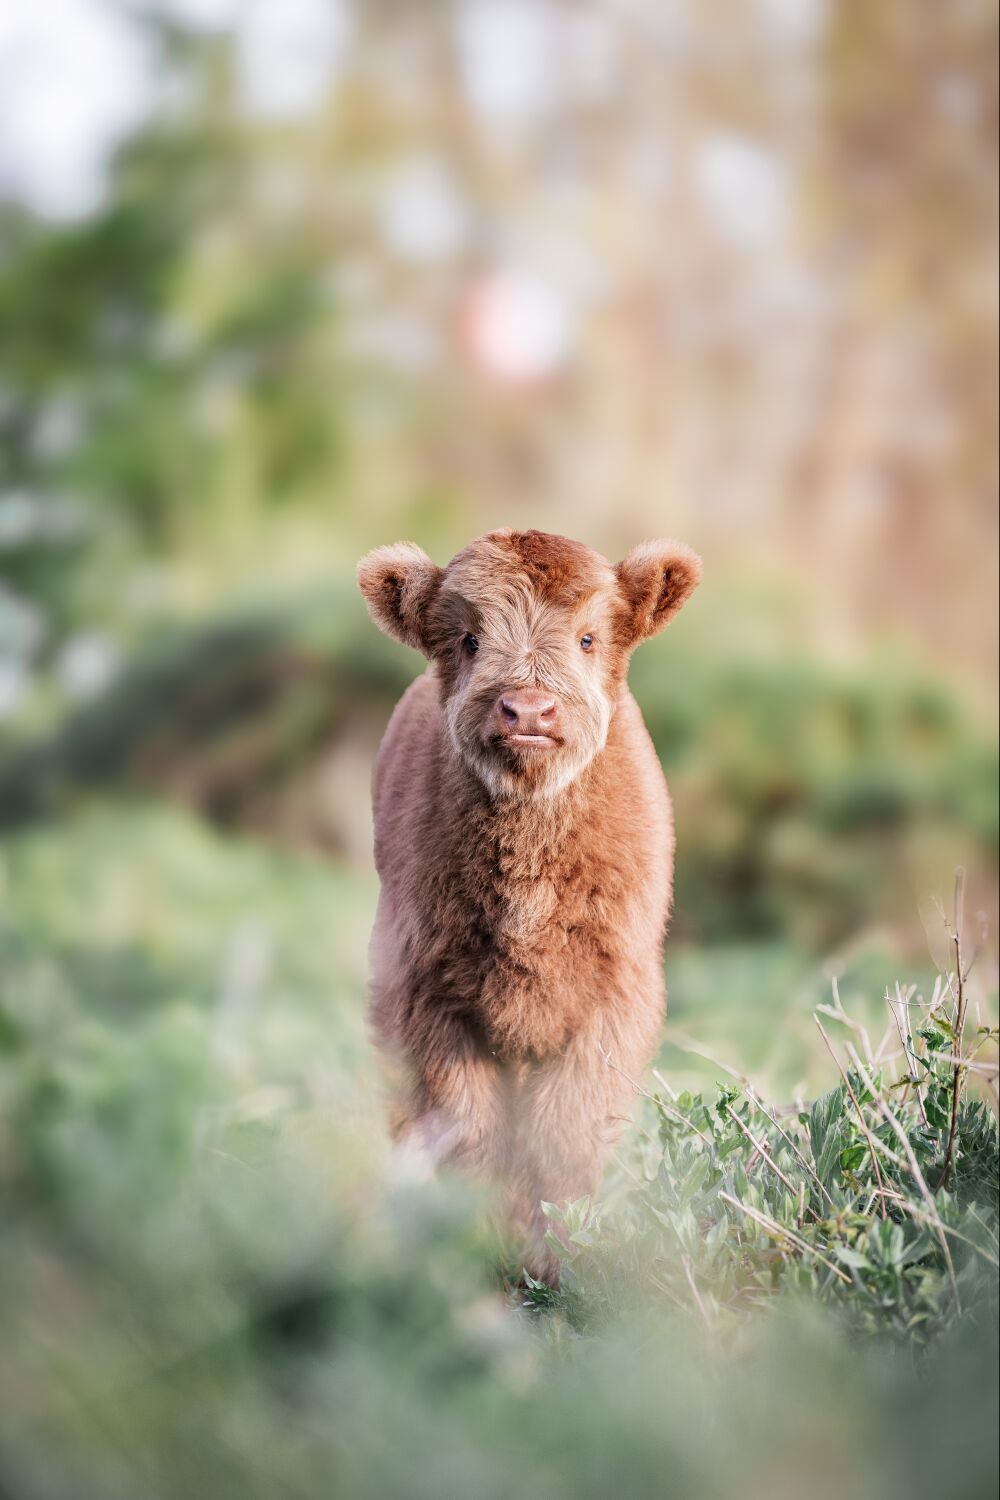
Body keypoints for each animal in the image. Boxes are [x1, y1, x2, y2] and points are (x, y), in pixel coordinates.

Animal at [359, 525, 704, 1278]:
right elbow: (471, 1134)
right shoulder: (428, 999)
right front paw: (485, 1244)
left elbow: (563, 1139)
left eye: (587, 638)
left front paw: (556, 1257)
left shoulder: (612, 1002)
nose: (527, 709)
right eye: (468, 639)